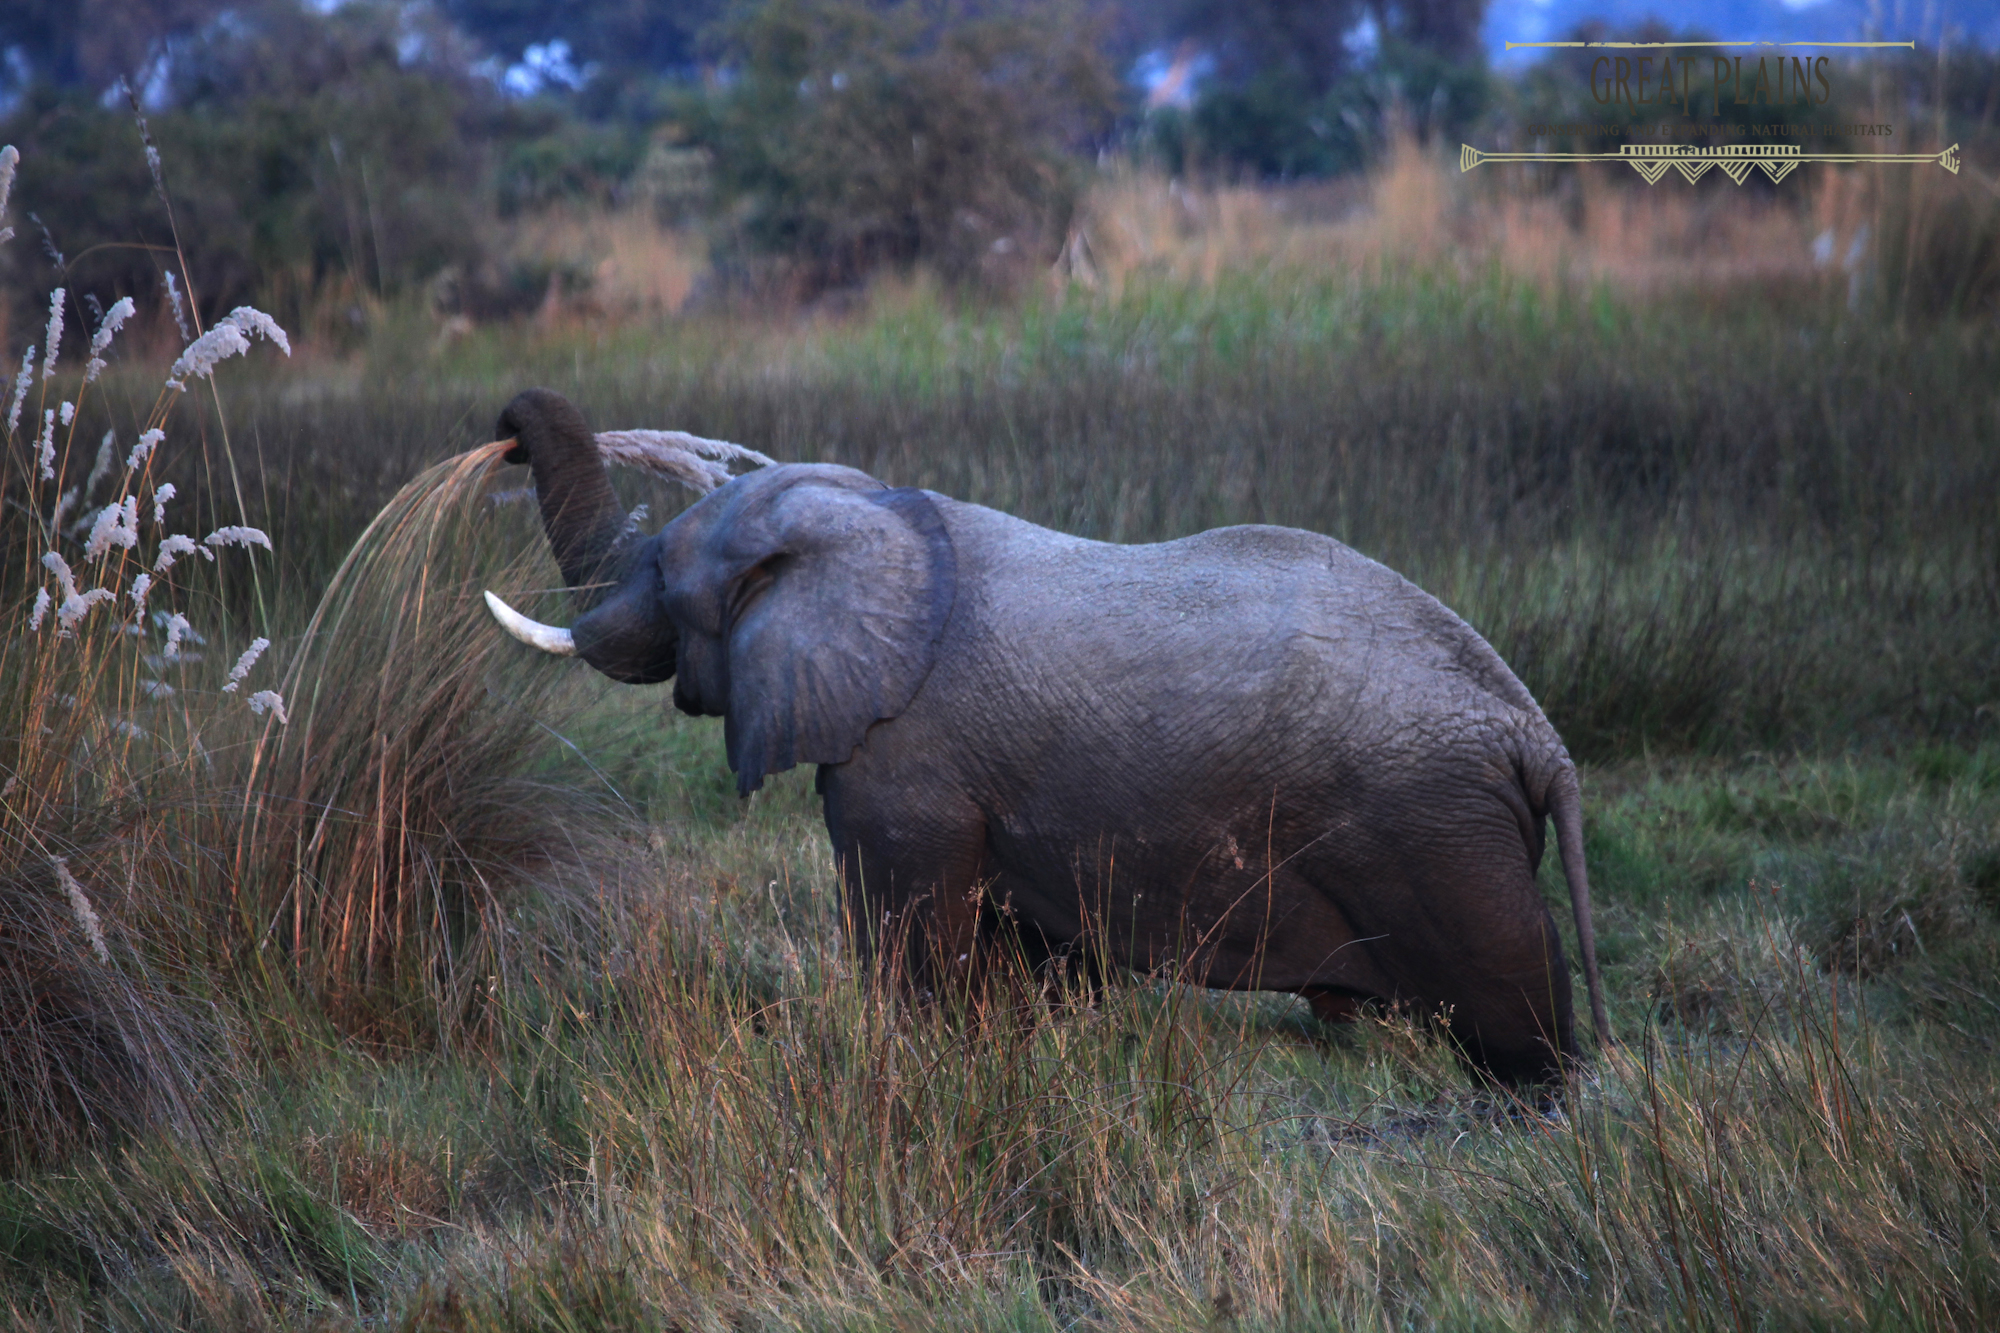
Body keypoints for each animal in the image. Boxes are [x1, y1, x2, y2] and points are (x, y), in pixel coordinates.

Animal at [484, 387, 1611, 1084]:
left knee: (1512, 995)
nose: (502, 427)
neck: (881, 518)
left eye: (662, 577)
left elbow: (909, 943)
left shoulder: (906, 762)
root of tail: (1537, 736)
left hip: (1434, 829)